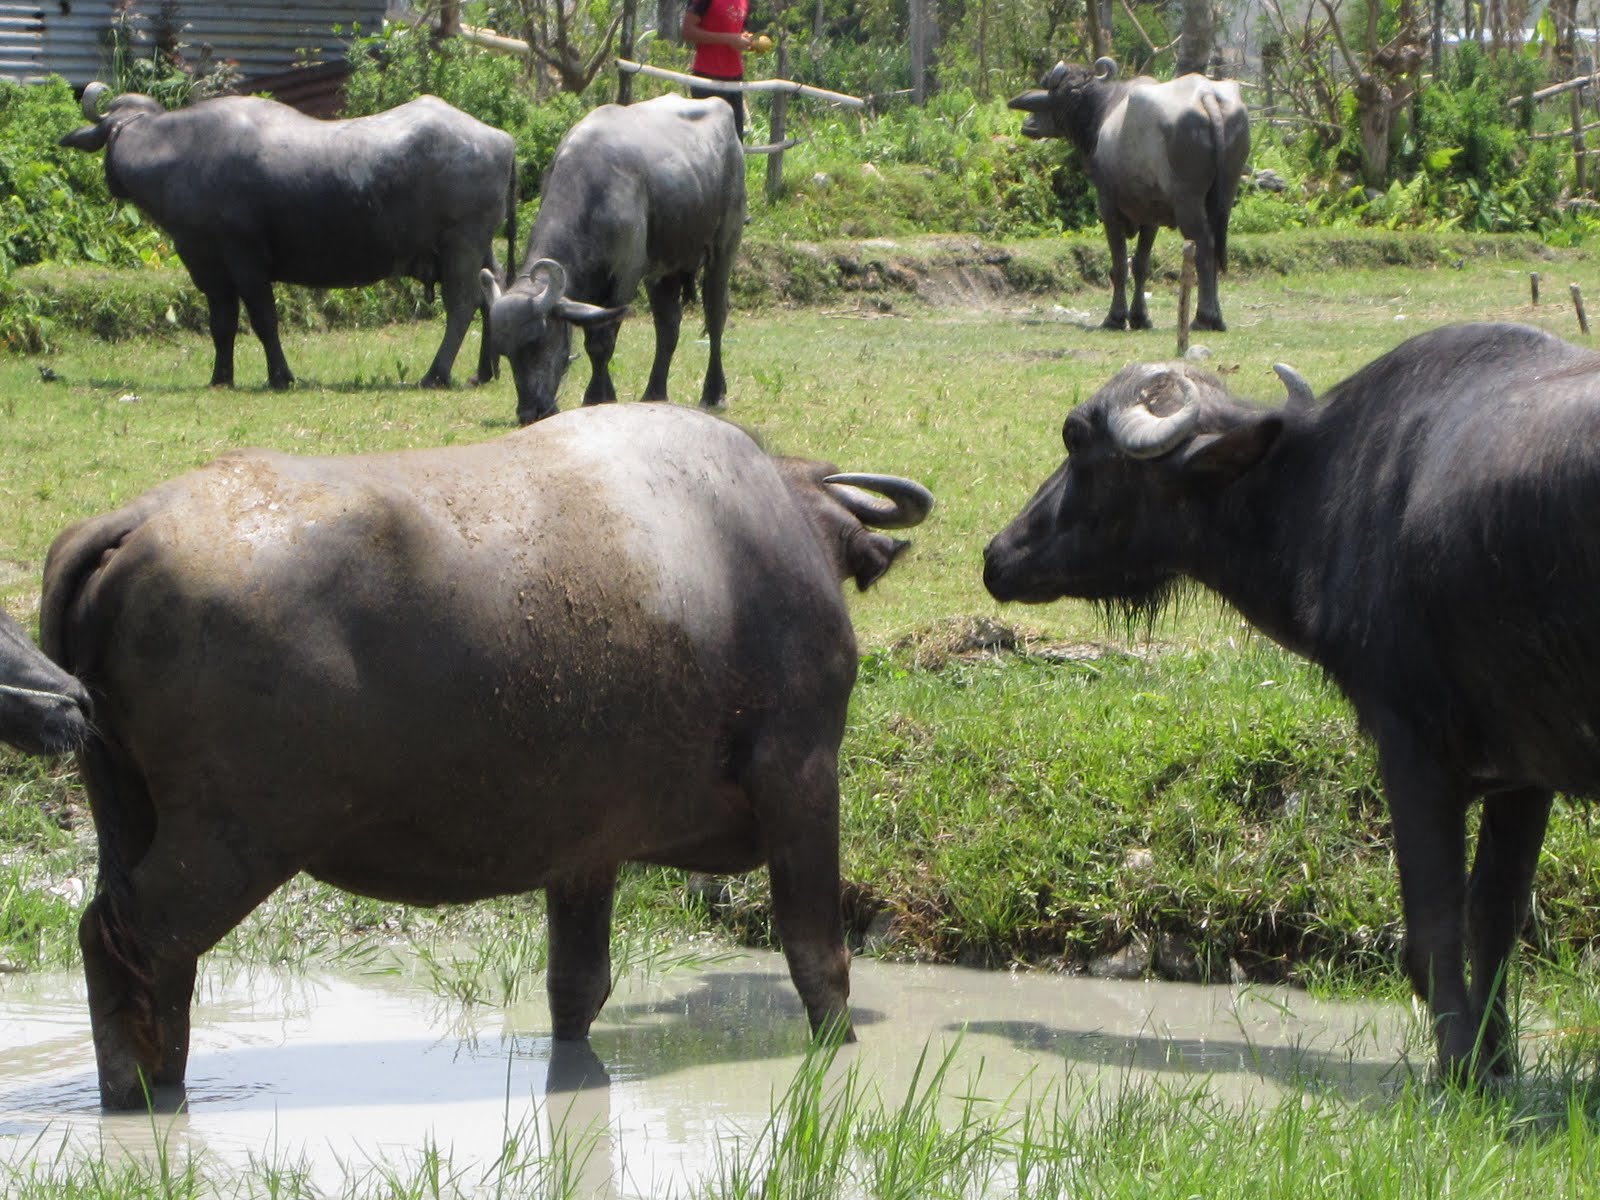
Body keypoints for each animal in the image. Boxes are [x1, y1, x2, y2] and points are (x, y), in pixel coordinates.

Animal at [41, 404, 932, 1108]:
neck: (754, 544)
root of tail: (134, 521)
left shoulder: (589, 850)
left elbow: (577, 987)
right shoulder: (801, 779)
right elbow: (818, 957)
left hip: (128, 814)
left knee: (154, 959)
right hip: (232, 843)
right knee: (124, 941)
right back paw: (137, 1096)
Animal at [61, 85, 516, 391]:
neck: (180, 155)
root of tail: (502, 139)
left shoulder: (244, 258)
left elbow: (264, 319)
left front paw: (280, 375)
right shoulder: (207, 265)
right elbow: (221, 323)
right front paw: (220, 377)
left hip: (461, 243)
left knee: (461, 304)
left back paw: (436, 374)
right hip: (479, 247)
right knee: (489, 294)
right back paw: (483, 372)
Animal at [482, 94, 745, 425]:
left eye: (538, 342)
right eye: (506, 353)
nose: (529, 412)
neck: (594, 188)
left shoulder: (625, 274)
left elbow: (601, 341)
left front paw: (596, 396)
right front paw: (606, 394)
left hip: (724, 247)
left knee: (715, 316)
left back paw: (713, 392)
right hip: (664, 270)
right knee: (668, 327)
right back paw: (654, 392)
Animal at [984, 321, 1600, 1081]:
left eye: (1075, 437)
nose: (997, 554)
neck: (1326, 488)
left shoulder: (1414, 750)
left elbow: (1433, 931)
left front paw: (1458, 1074)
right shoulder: (1523, 773)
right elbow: (1496, 920)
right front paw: (1497, 1068)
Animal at [1009, 57, 1249, 332]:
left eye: (1053, 93)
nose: (1028, 124)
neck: (1104, 110)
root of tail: (1206, 94)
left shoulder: (1109, 209)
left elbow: (1120, 265)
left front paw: (1115, 317)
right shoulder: (1151, 216)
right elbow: (1141, 265)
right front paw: (1139, 317)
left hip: (1188, 202)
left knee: (1204, 245)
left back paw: (1203, 317)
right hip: (1225, 194)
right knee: (1217, 244)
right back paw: (1217, 316)